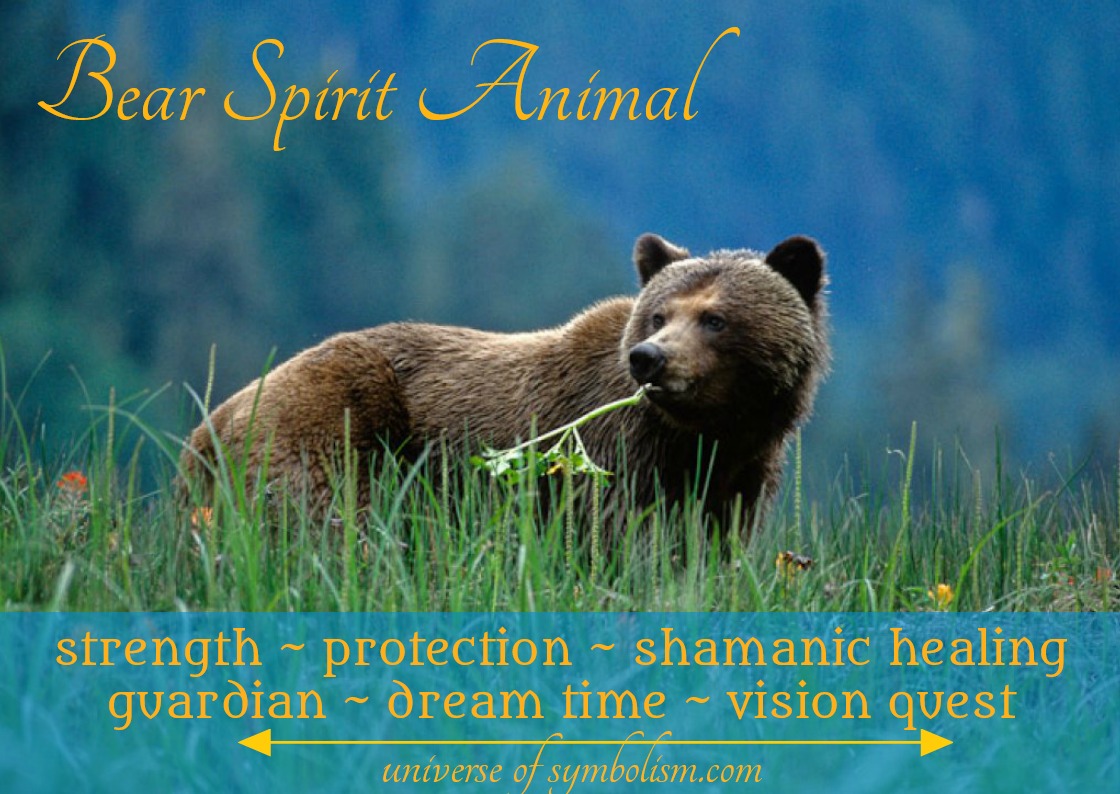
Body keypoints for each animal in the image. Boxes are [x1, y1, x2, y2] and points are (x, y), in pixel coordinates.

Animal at [180, 233, 829, 531]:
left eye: (715, 318)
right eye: (659, 315)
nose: (649, 358)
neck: (704, 434)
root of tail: (208, 427)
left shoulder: (739, 475)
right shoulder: (612, 457)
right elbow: (618, 539)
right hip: (334, 415)